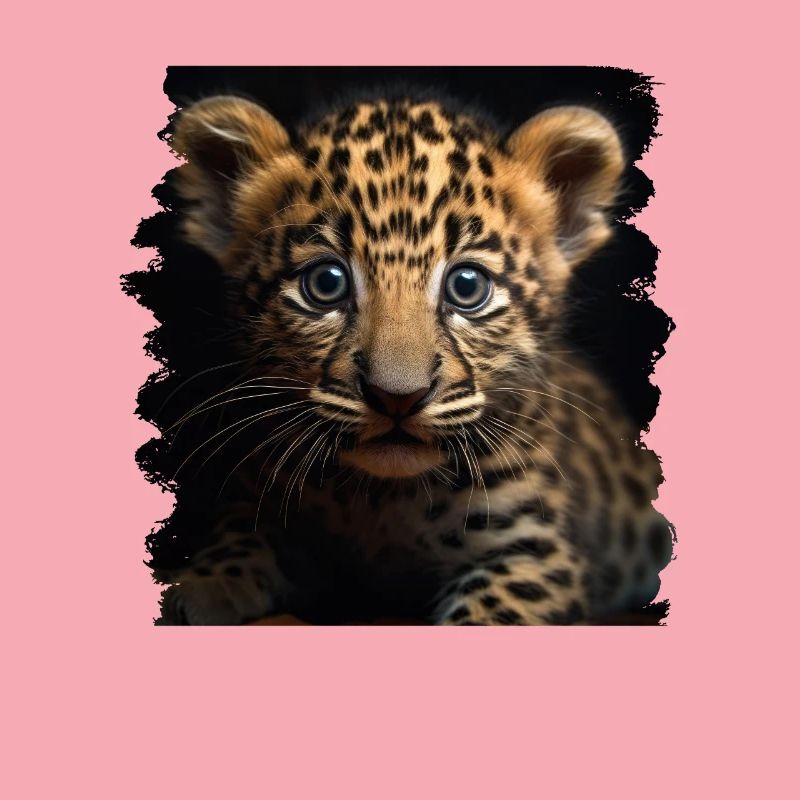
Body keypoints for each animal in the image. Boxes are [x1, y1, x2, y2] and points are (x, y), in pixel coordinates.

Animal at [154, 89, 673, 625]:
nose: (397, 398)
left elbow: (488, 614)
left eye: (467, 287)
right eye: (326, 283)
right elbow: (240, 539)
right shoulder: (267, 503)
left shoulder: (536, 551)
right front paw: (203, 586)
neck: (381, 500)